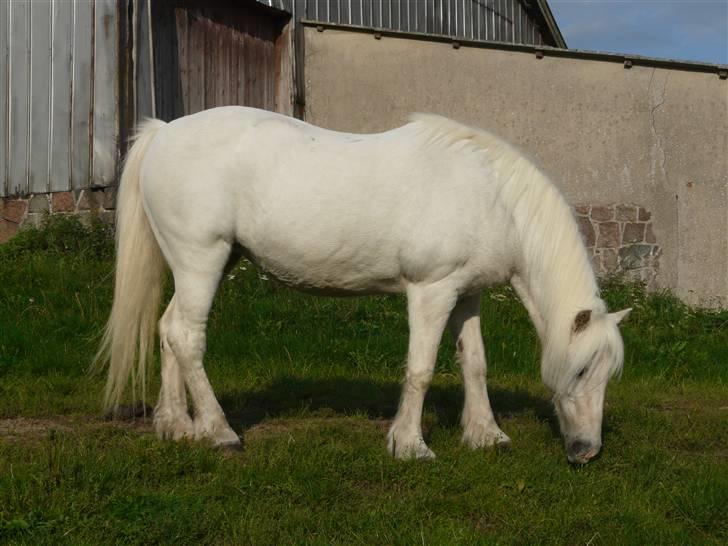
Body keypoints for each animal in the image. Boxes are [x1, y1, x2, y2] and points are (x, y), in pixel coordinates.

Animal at [98, 107, 632, 464]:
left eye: (608, 373)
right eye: (583, 369)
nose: (586, 450)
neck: (493, 196)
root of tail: (163, 132)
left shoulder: (467, 294)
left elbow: (475, 364)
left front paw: (486, 435)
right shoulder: (432, 291)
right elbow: (420, 368)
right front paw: (410, 445)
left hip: (204, 264)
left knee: (168, 330)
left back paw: (175, 426)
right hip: (201, 260)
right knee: (187, 337)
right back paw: (218, 432)